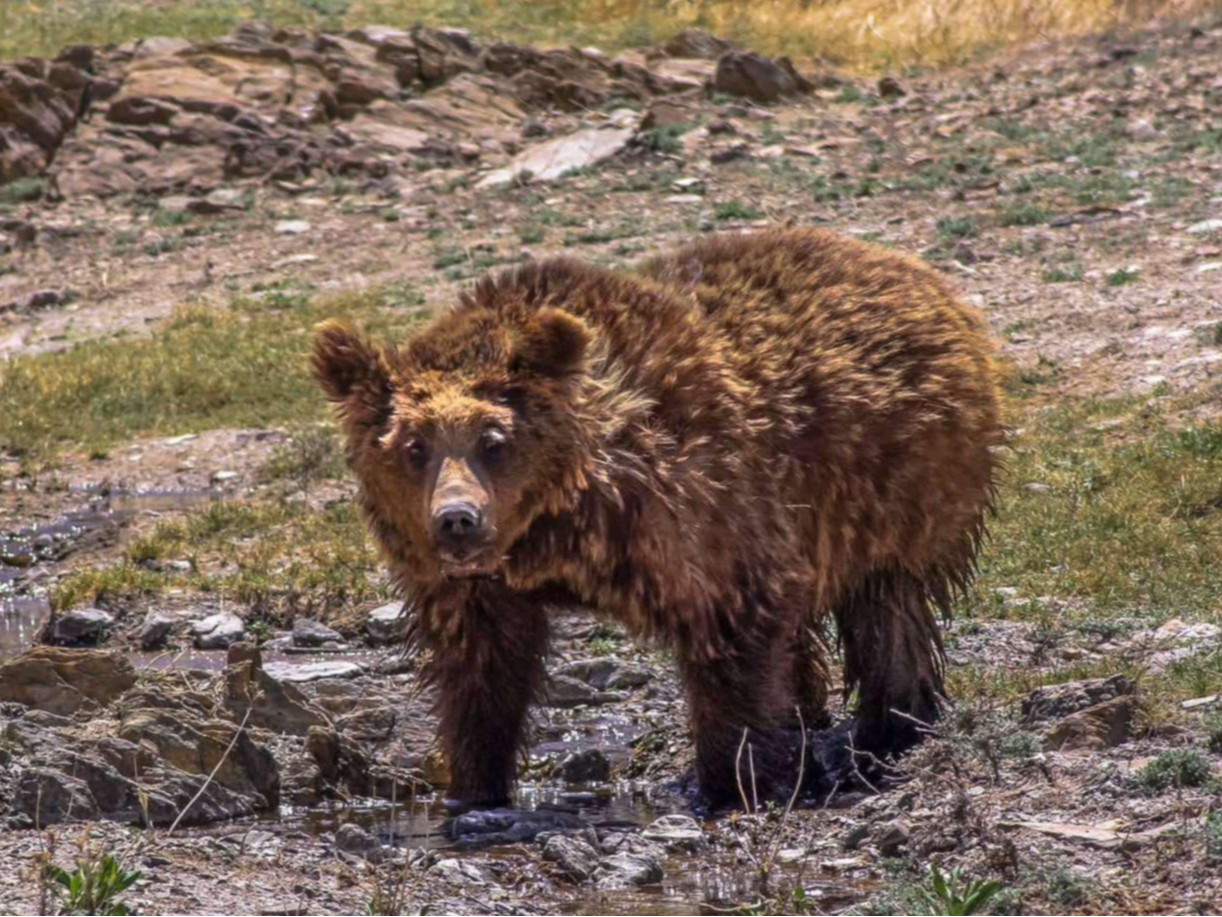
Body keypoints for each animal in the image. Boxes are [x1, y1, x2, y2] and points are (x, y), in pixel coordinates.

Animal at [312, 229, 1002, 811]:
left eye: (493, 440)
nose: (457, 519)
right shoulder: (476, 587)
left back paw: (890, 727)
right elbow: (482, 668)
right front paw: (474, 785)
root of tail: (913, 271)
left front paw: (730, 782)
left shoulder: (696, 512)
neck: (560, 522)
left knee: (886, 606)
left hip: (897, 482)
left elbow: (733, 628)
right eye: (413, 447)